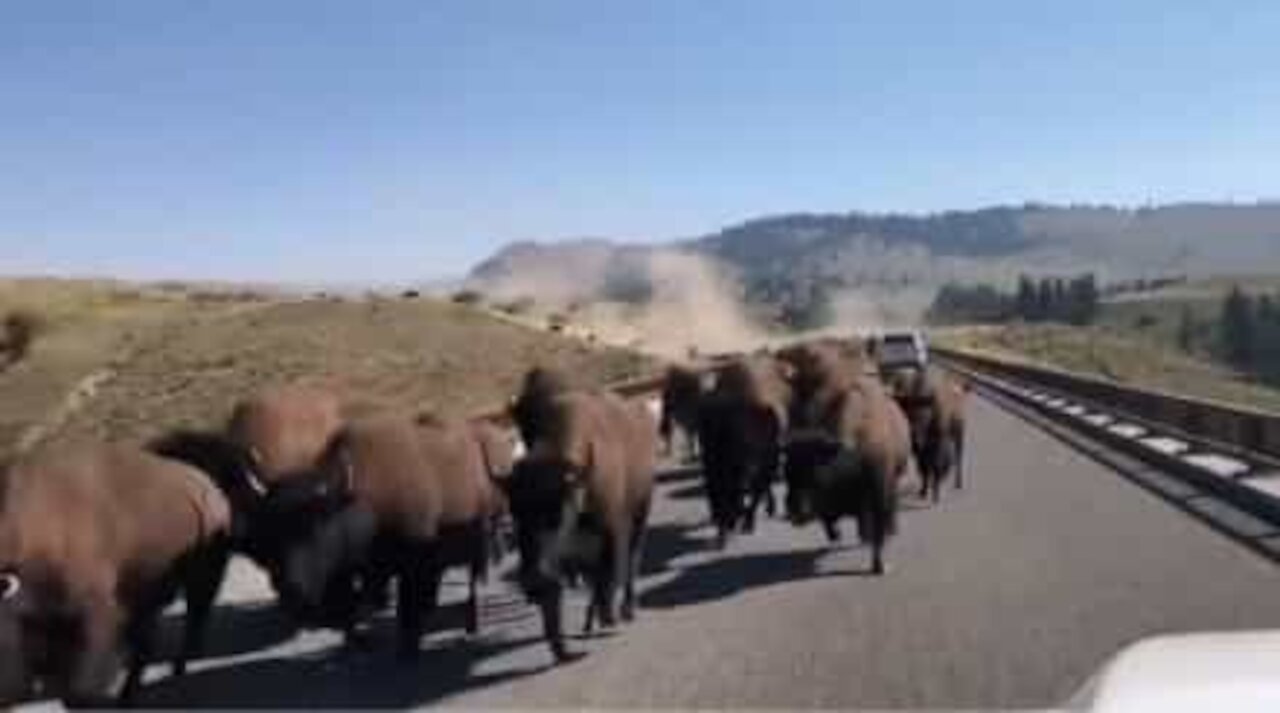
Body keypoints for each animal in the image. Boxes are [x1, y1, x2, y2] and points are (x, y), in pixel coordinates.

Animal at [0, 442, 232, 701]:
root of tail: (212, 489)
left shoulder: (97, 611)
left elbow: (82, 678)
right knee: (148, 644)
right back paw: (130, 692)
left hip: (203, 579)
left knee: (192, 623)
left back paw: (175, 671)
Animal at [501, 389, 655, 660]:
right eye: (514, 511)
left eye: (554, 510)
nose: (531, 580)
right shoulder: (560, 560)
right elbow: (556, 599)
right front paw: (561, 649)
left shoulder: (613, 532)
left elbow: (609, 575)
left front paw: (608, 617)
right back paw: (589, 622)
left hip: (641, 515)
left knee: (632, 561)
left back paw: (626, 609)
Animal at [778, 378, 911, 573]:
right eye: (786, 469)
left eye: (817, 468)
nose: (794, 512)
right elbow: (829, 520)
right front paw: (838, 535)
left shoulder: (879, 490)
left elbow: (878, 527)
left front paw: (879, 565)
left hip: (894, 479)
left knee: (890, 509)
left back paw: (890, 530)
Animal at [890, 366, 967, 499]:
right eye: (905, 408)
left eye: (923, 410)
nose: (914, 434)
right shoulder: (920, 449)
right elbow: (924, 466)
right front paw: (924, 490)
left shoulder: (938, 441)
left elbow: (934, 463)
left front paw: (935, 493)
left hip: (959, 433)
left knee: (958, 456)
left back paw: (958, 483)